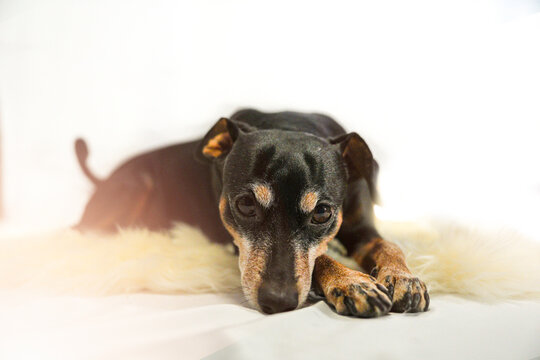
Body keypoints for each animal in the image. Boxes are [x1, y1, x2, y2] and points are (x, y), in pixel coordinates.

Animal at [76, 108, 430, 316]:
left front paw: (403, 277)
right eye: (245, 204)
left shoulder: (361, 227)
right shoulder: (236, 242)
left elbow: (388, 244)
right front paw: (354, 282)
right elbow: (322, 257)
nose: (278, 301)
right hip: (134, 187)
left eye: (322, 213)